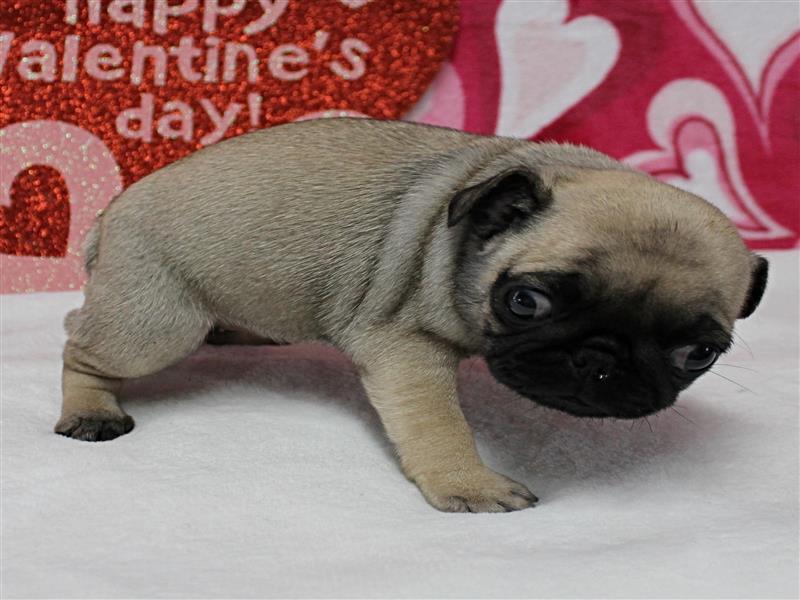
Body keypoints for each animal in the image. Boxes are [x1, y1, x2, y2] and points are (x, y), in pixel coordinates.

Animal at [56, 118, 768, 512]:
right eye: (526, 301)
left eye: (698, 353)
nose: (598, 359)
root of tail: (114, 211)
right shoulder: (406, 347)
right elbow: (440, 425)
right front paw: (469, 485)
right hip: (154, 323)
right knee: (77, 343)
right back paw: (90, 410)